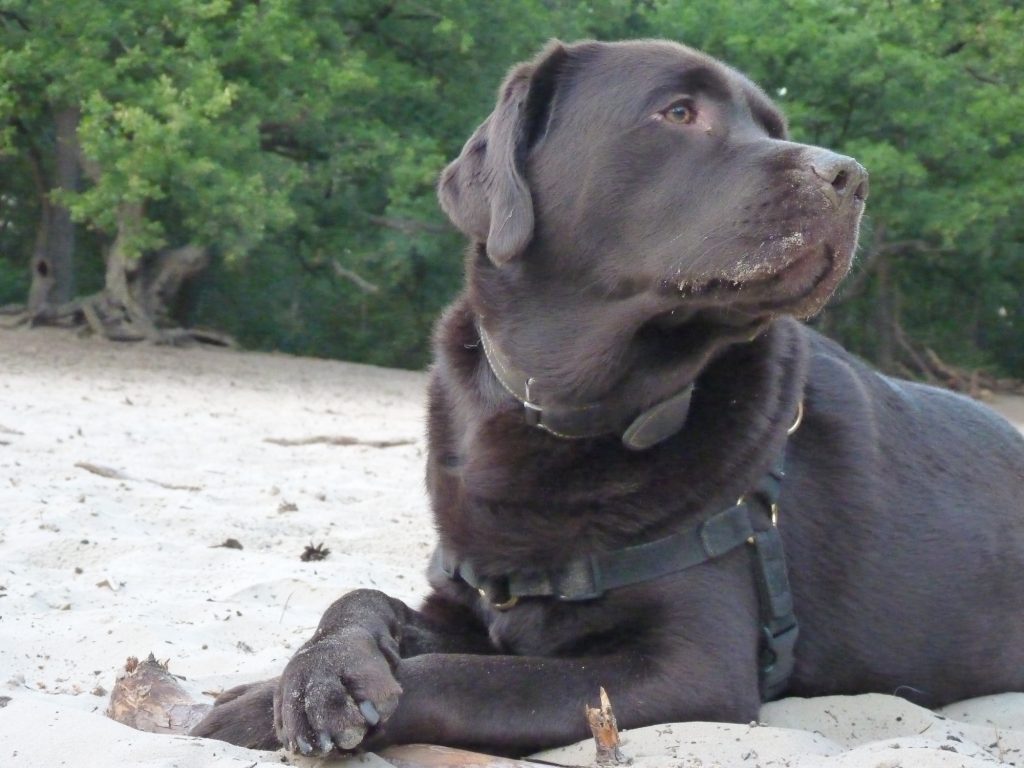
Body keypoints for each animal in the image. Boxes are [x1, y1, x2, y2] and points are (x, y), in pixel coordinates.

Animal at [190, 37, 1024, 757]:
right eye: (679, 112)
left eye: (773, 127)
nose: (851, 176)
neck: (564, 411)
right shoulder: (471, 602)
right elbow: (361, 598)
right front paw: (314, 676)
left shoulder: (686, 666)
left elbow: (453, 678)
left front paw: (250, 710)